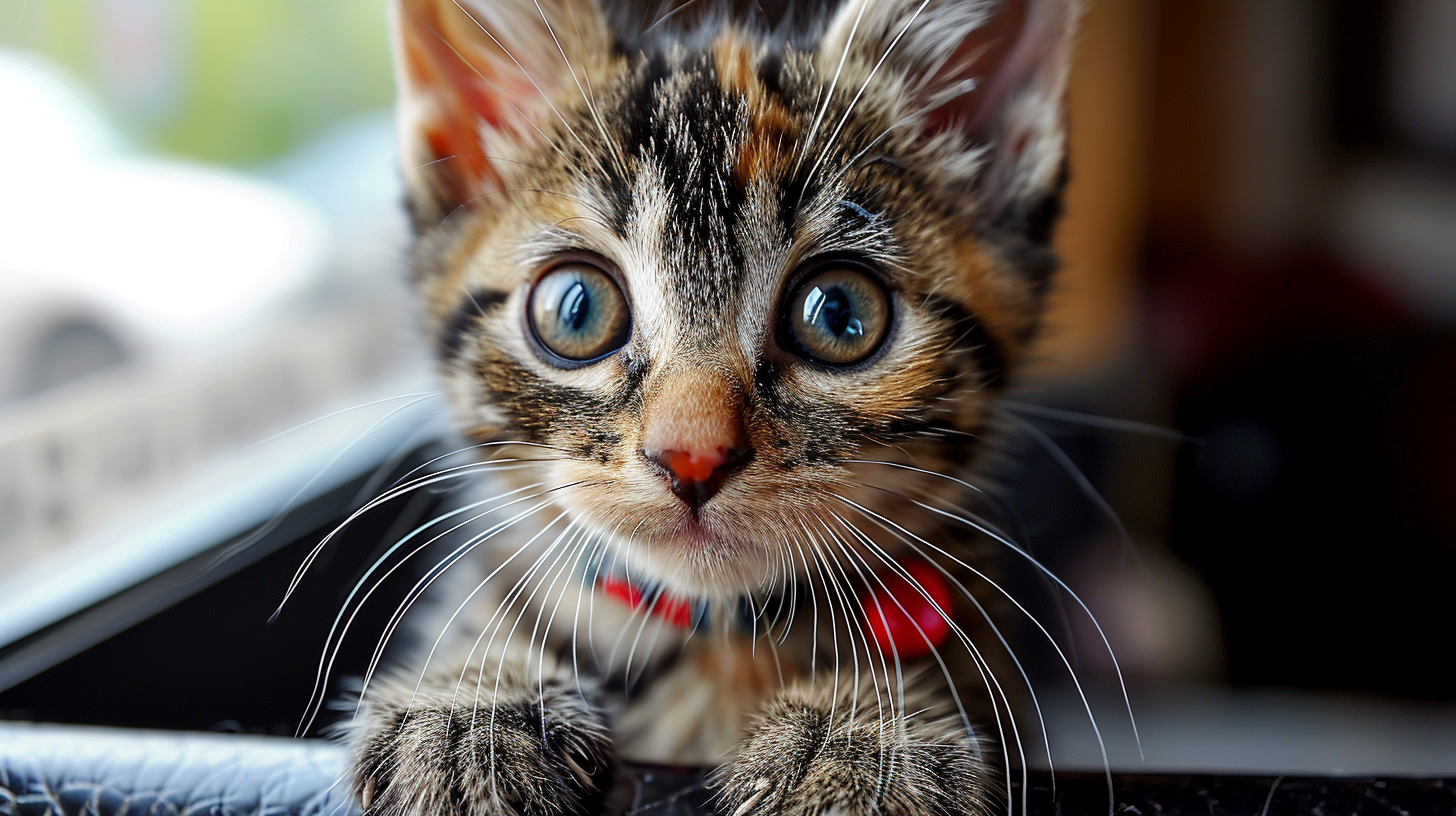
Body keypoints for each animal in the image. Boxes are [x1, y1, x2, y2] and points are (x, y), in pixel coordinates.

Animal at [349, 0, 1083, 810]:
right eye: (577, 309)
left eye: (839, 315)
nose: (692, 456)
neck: (722, 647)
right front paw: (470, 705)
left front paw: (863, 734)